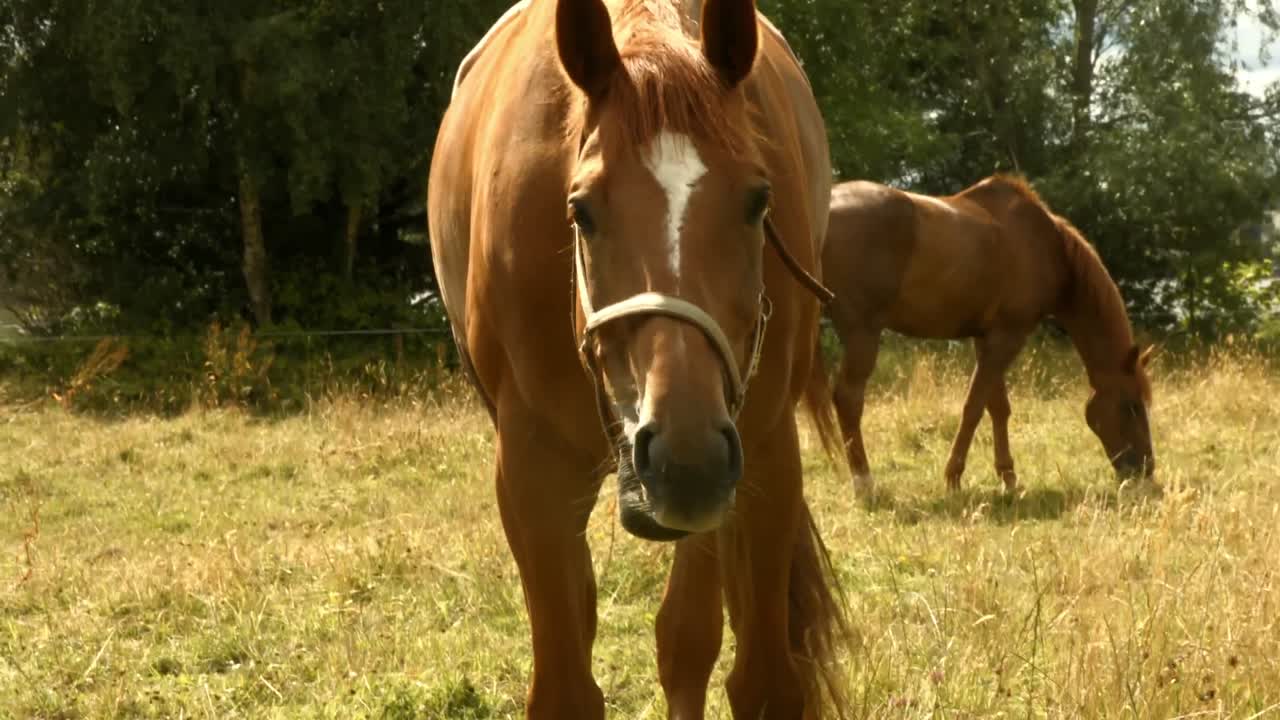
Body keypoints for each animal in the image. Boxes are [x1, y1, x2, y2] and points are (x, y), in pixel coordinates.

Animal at [427, 1, 848, 716]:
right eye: (581, 210)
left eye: (758, 201)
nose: (683, 455)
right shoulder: (533, 473)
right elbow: (566, 687)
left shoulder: (761, 451)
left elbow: (747, 674)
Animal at [821, 175, 1155, 496]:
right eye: (1132, 406)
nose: (1146, 469)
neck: (1046, 247)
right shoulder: (1008, 337)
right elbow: (974, 407)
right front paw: (953, 476)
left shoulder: (987, 339)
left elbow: (997, 408)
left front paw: (1007, 476)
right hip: (862, 334)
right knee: (848, 399)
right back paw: (864, 484)